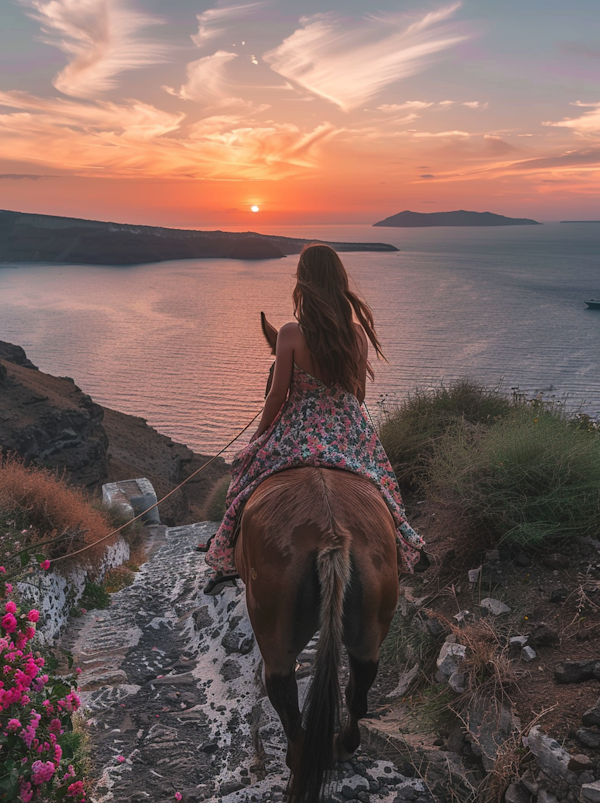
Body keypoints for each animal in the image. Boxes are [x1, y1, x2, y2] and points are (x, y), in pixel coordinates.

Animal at [233, 318, 398, 800]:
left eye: (271, 374)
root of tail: (330, 535)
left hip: (273, 623)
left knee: (282, 690)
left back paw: (298, 755)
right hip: (371, 617)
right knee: (360, 686)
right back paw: (343, 745)